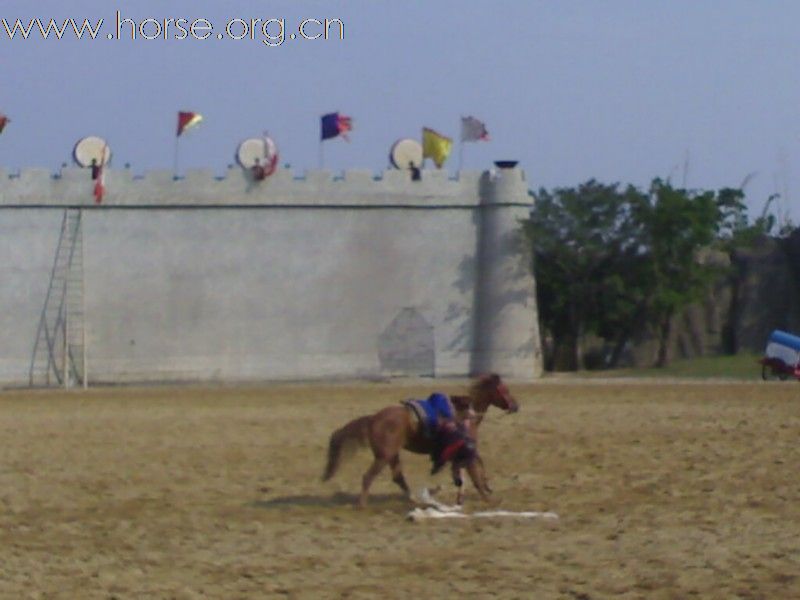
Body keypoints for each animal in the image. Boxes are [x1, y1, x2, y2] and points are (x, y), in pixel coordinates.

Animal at [324, 376, 520, 506]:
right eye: (505, 390)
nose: (516, 406)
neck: (466, 416)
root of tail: (372, 419)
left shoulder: (463, 455)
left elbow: (469, 473)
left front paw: (472, 494)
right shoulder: (467, 452)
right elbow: (475, 476)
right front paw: (489, 499)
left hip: (392, 455)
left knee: (398, 477)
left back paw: (413, 499)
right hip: (383, 456)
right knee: (368, 477)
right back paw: (362, 505)